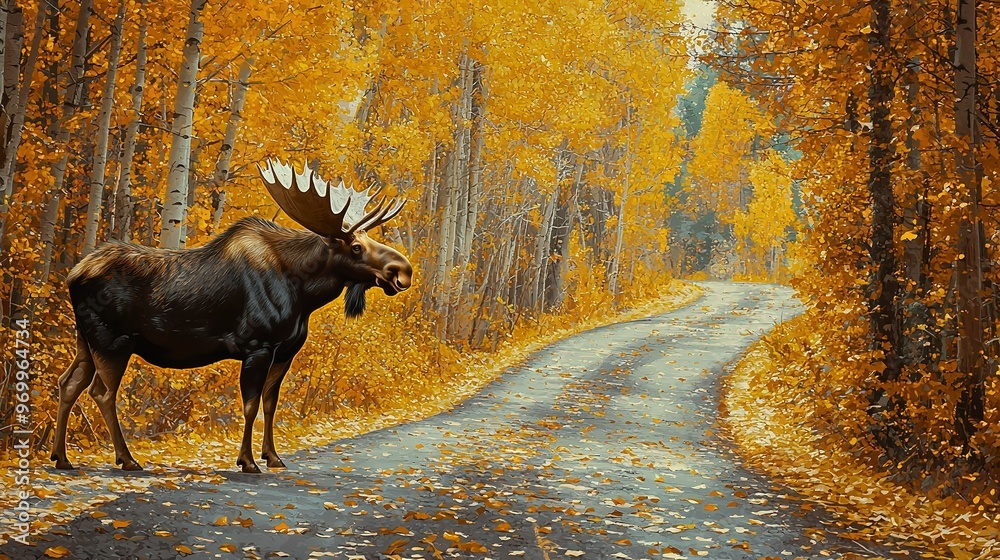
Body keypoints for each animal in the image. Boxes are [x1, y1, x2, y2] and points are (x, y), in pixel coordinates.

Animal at [52, 161, 412, 472]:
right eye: (355, 247)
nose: (403, 271)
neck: (303, 294)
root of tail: (72, 275)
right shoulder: (257, 345)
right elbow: (250, 405)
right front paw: (248, 461)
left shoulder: (285, 352)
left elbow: (270, 403)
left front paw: (273, 457)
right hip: (112, 341)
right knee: (101, 392)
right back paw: (126, 459)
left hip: (85, 340)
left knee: (68, 382)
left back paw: (62, 457)